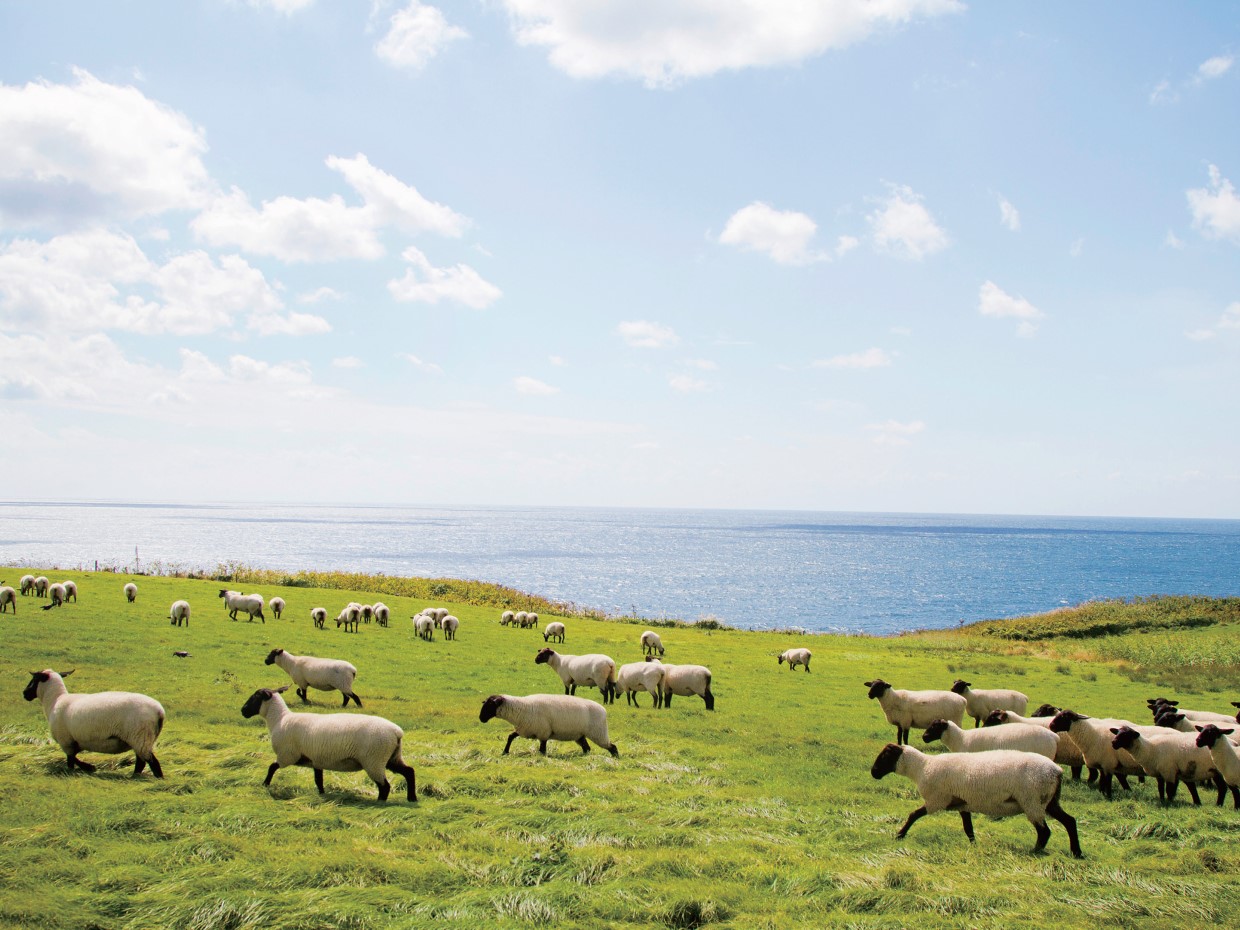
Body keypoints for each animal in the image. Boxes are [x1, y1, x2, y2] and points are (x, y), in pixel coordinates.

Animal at [22, 669, 166, 778]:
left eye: (34, 679)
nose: (24, 694)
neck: (55, 700)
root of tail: (159, 711)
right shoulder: (74, 742)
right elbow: (73, 757)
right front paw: (89, 767)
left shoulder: (66, 741)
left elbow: (71, 760)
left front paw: (86, 768)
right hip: (142, 739)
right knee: (141, 761)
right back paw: (135, 776)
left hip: (140, 737)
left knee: (152, 762)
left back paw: (154, 778)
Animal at [239, 684, 414, 803]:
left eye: (255, 697)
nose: (243, 711)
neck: (279, 719)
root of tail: (397, 732)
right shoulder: (316, 760)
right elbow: (319, 780)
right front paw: (322, 794)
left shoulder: (287, 755)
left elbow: (272, 767)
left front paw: (265, 784)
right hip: (391, 757)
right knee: (409, 772)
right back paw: (412, 798)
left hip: (374, 759)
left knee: (385, 786)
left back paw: (380, 802)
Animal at [476, 694, 617, 758]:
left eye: (490, 705)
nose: (481, 719)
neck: (522, 708)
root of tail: (603, 710)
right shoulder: (524, 729)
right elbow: (510, 737)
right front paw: (505, 752)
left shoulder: (543, 733)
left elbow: (542, 749)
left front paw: (542, 758)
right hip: (580, 735)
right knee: (587, 748)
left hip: (598, 732)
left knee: (612, 746)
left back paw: (616, 758)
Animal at [868, 744, 1081, 858]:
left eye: (886, 755)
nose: (873, 773)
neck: (922, 767)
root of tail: (1057, 771)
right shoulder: (963, 803)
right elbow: (968, 828)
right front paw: (974, 845)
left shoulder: (937, 800)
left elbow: (913, 815)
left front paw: (899, 834)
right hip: (1049, 801)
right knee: (1070, 821)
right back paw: (1076, 852)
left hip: (1032, 800)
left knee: (1044, 831)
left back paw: (1034, 851)